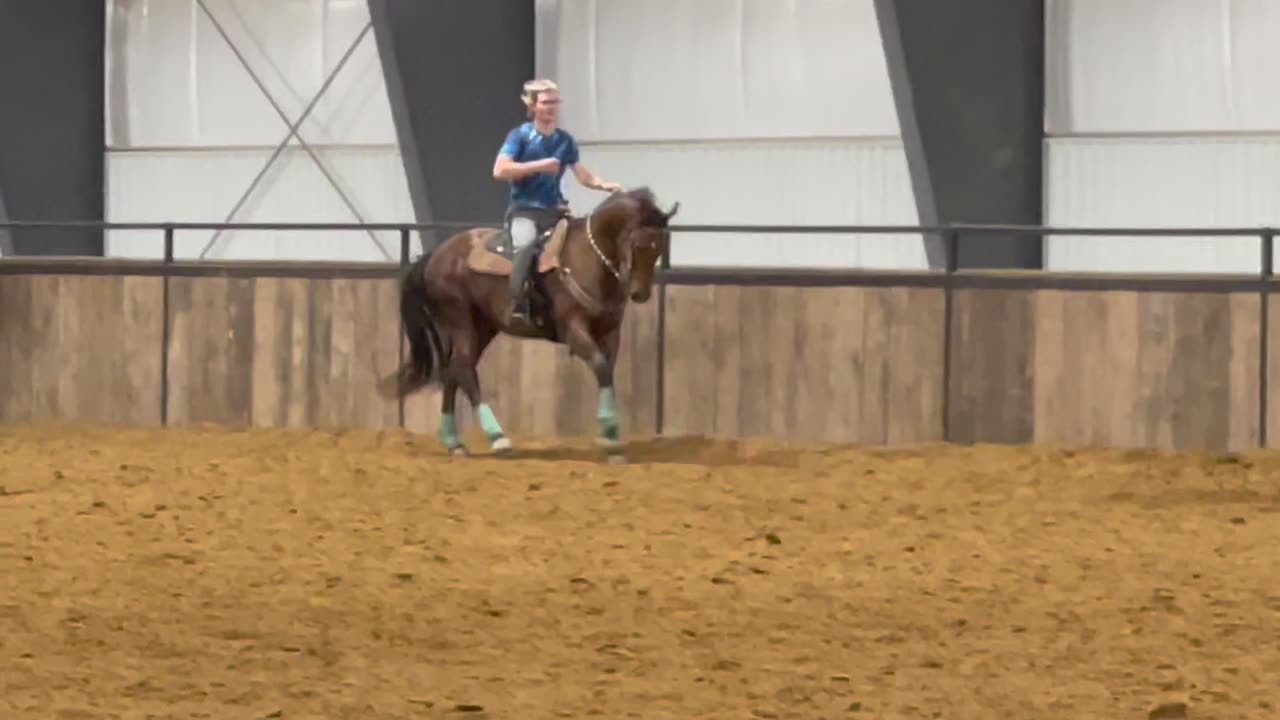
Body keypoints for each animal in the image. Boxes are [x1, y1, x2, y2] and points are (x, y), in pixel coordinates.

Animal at [376, 188, 680, 461]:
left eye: (659, 248)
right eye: (637, 244)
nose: (640, 293)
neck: (588, 259)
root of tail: (436, 255)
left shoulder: (610, 333)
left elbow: (607, 374)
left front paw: (610, 440)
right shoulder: (574, 329)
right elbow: (601, 367)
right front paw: (610, 435)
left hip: (481, 327)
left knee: (454, 369)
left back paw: (454, 442)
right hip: (461, 322)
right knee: (463, 368)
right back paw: (498, 438)